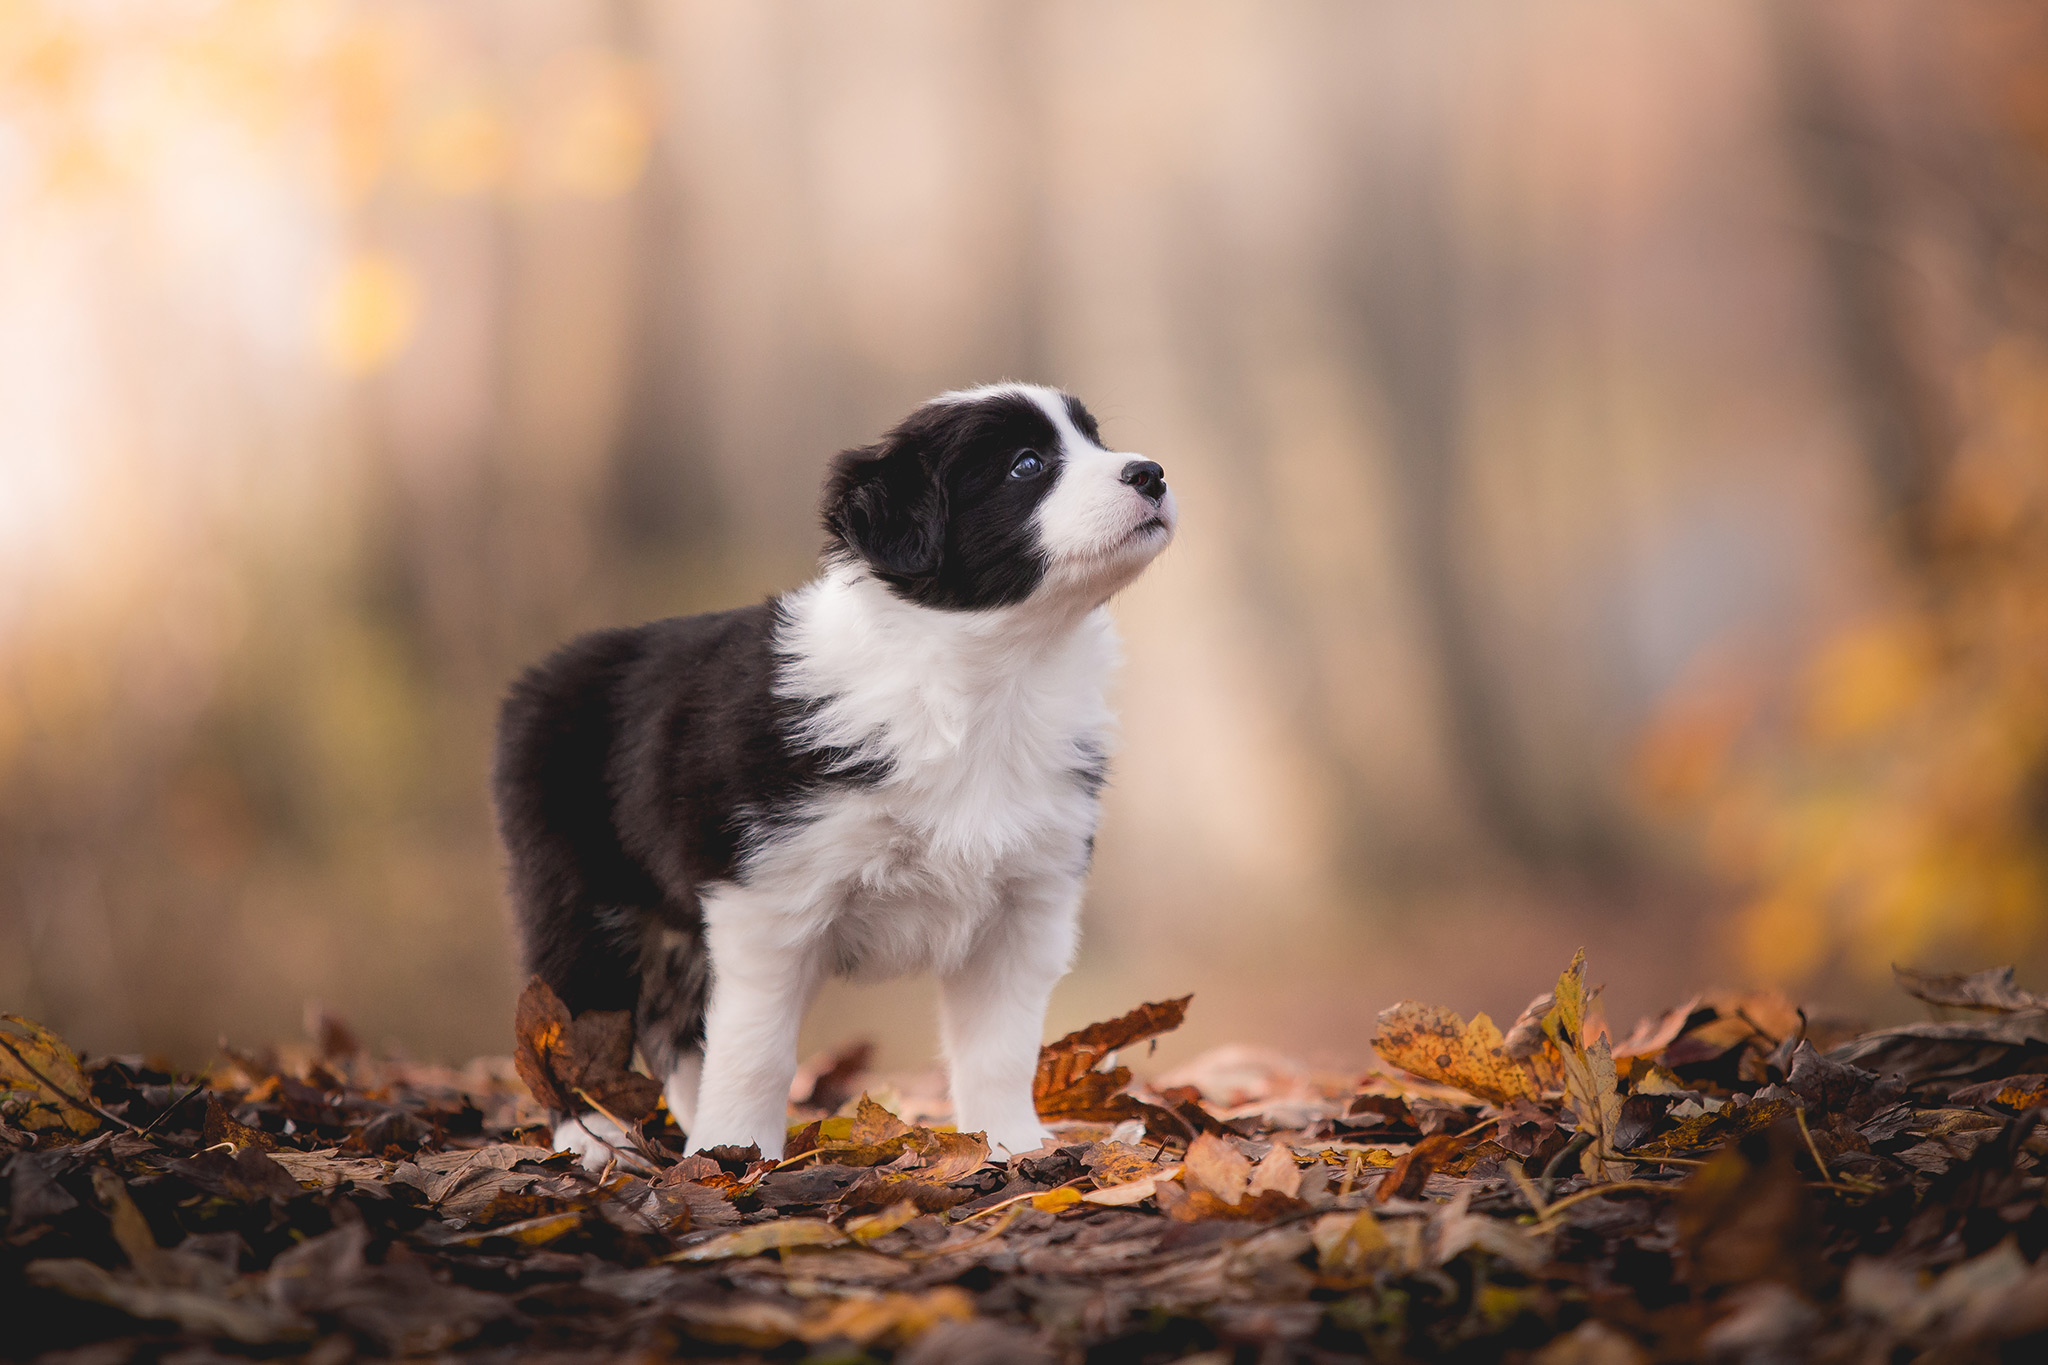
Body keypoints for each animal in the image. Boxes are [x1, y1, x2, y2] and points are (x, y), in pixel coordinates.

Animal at [485, 382, 1179, 1162]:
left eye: (1096, 440)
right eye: (1026, 464)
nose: (1151, 473)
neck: (989, 681)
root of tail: (537, 680)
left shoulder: (1025, 901)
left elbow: (1000, 1045)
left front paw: (1012, 1146)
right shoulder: (770, 895)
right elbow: (756, 1047)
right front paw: (736, 1157)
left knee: (674, 1030)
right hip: (577, 892)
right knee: (573, 1020)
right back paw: (595, 1142)